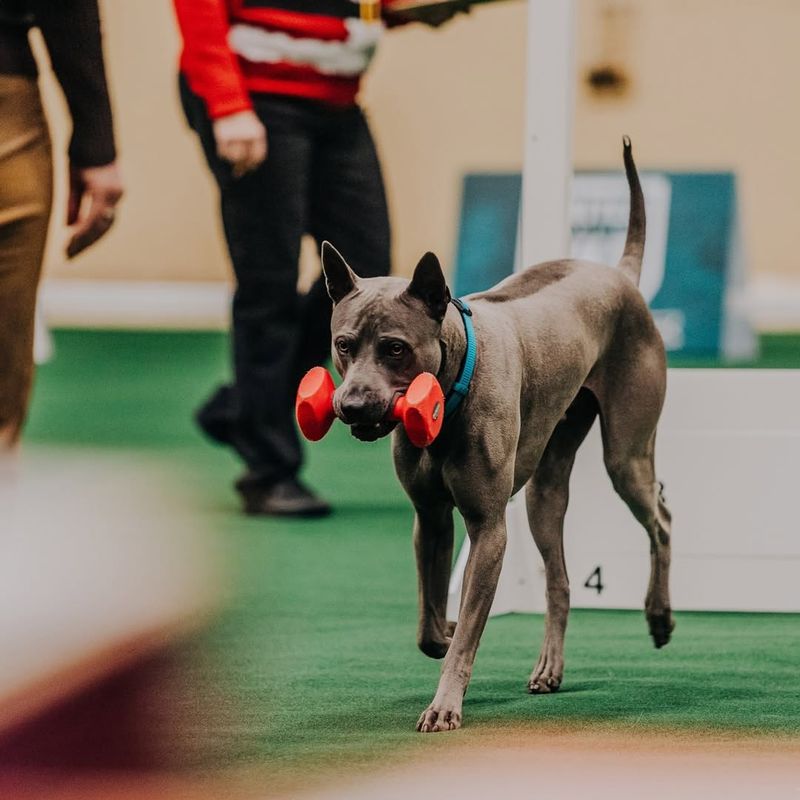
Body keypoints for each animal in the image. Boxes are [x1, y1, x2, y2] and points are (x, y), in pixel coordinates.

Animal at [318, 136, 676, 732]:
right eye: (344, 345)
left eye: (395, 348)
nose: (352, 406)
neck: (452, 388)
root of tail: (620, 275)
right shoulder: (430, 519)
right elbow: (430, 620)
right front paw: (442, 633)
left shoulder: (489, 530)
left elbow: (468, 630)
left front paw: (445, 703)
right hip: (543, 493)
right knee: (560, 581)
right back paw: (549, 667)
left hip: (626, 457)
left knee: (662, 517)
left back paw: (660, 616)